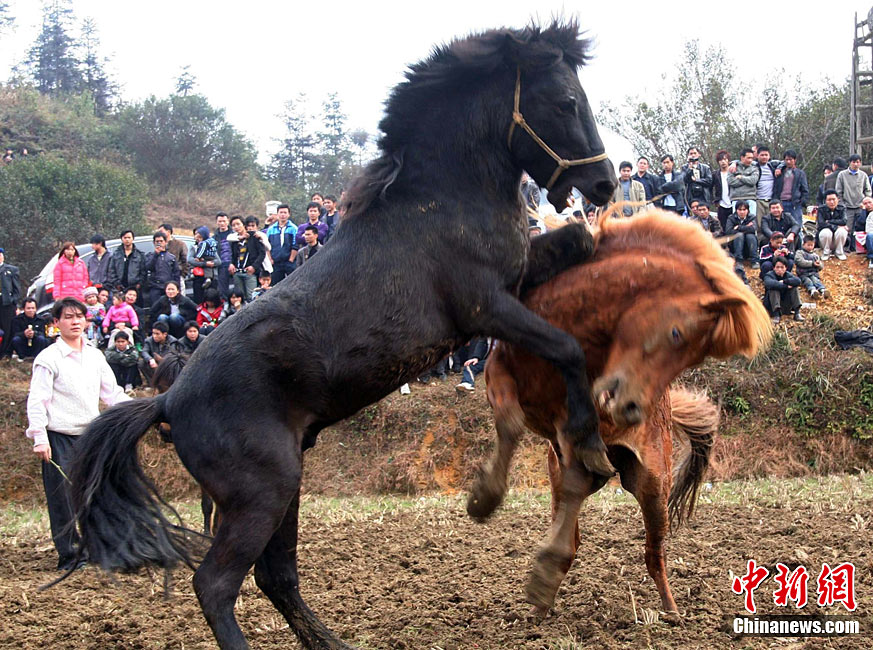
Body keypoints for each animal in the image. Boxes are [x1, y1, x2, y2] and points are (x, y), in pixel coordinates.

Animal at [68, 21, 617, 650]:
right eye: (566, 101)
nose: (604, 183)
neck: (446, 199)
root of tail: (167, 399)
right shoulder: (486, 307)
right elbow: (567, 349)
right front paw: (592, 452)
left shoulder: (516, 280)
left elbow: (580, 243)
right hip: (262, 492)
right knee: (216, 584)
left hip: (284, 486)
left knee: (275, 576)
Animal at [467, 208, 773, 615]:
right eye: (676, 333)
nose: (630, 407)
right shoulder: (499, 368)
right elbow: (510, 422)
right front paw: (484, 497)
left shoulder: (575, 422)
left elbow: (573, 468)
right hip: (560, 464)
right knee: (575, 512)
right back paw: (543, 600)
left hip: (653, 484)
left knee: (652, 551)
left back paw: (670, 610)